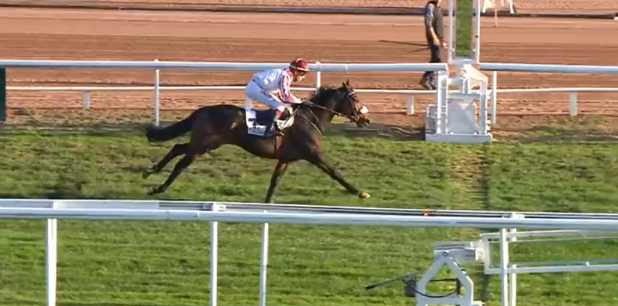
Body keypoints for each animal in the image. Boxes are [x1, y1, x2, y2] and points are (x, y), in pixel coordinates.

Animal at [141, 80, 370, 202]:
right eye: (356, 99)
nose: (365, 119)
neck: (310, 118)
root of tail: (203, 110)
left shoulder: (286, 158)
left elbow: (275, 179)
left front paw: (268, 201)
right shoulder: (313, 154)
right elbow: (334, 172)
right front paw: (359, 191)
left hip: (204, 143)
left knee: (177, 147)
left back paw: (151, 171)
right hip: (204, 144)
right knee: (181, 162)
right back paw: (159, 187)